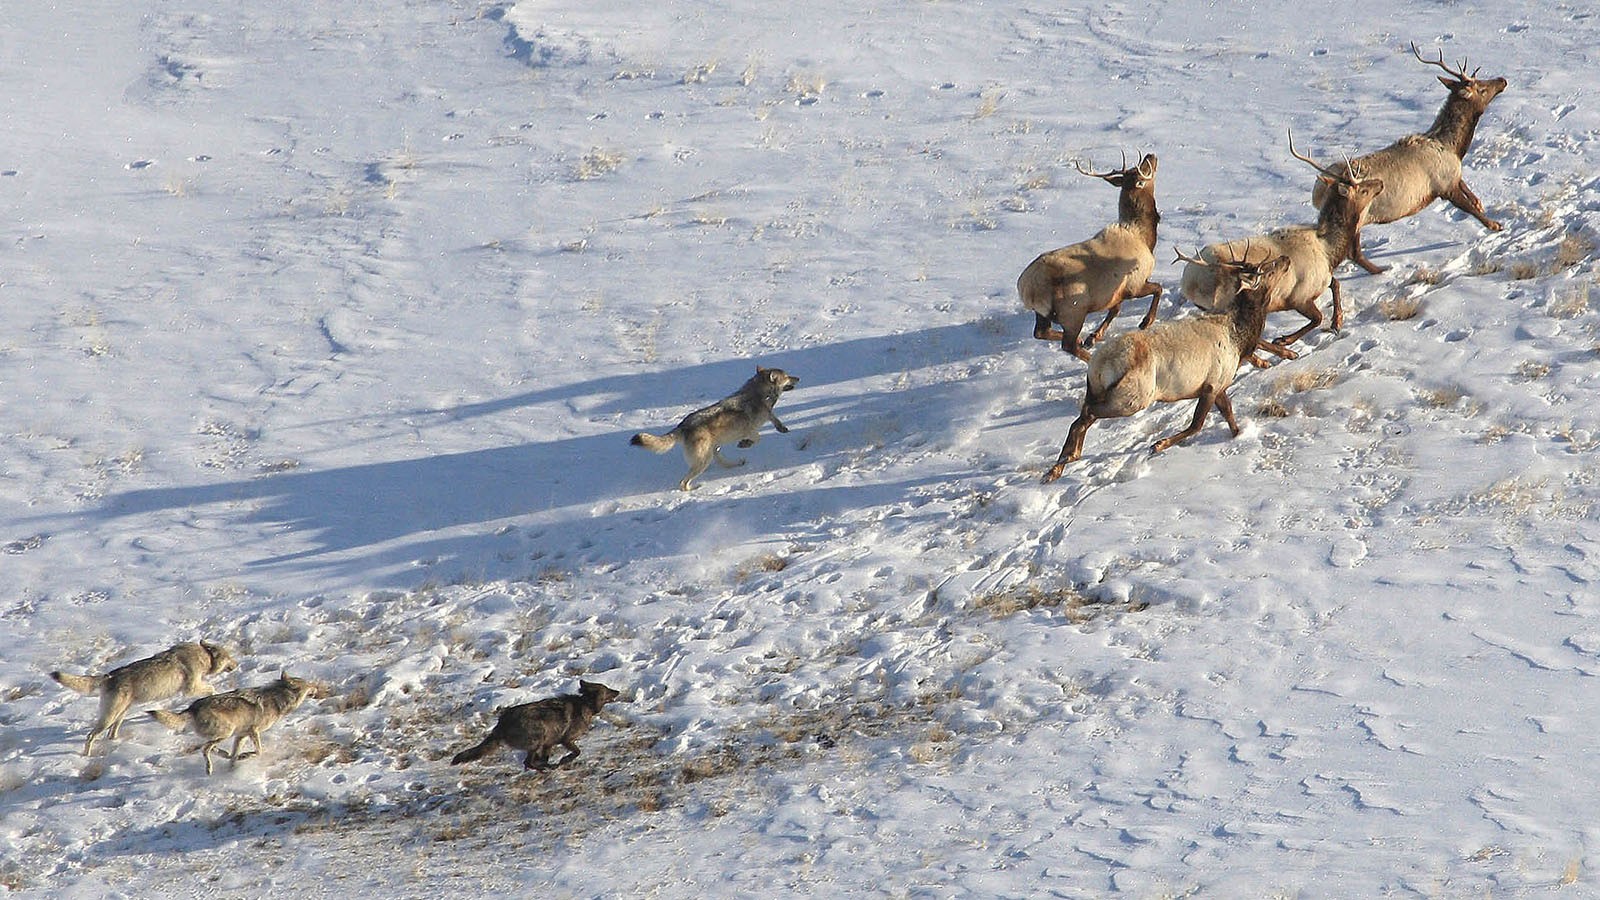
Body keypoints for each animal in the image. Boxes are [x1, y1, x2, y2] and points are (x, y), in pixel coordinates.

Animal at [51, 640, 238, 755]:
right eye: (229, 657)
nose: (237, 664)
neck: (204, 656)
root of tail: (109, 676)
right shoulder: (190, 689)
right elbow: (211, 688)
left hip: (120, 715)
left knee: (111, 734)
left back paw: (116, 742)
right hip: (109, 717)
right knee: (90, 736)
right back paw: (86, 756)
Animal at [149, 672, 326, 775]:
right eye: (308, 685)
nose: (317, 687)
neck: (277, 700)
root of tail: (192, 708)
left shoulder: (241, 735)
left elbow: (234, 756)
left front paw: (233, 767)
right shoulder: (254, 731)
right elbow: (259, 751)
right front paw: (246, 756)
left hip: (225, 734)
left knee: (209, 747)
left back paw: (226, 755)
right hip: (227, 731)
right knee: (205, 749)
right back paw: (209, 769)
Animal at [451, 680, 621, 771]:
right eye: (608, 690)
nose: (618, 691)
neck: (585, 704)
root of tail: (501, 723)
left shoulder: (549, 744)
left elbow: (544, 758)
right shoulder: (566, 740)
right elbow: (577, 752)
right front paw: (564, 760)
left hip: (540, 741)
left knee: (530, 762)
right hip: (538, 737)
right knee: (528, 762)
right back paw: (546, 768)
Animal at [630, 366, 799, 490]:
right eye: (787, 376)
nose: (798, 378)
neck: (759, 394)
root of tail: (683, 425)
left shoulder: (766, 416)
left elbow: (774, 418)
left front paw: (781, 428)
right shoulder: (750, 429)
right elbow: (758, 438)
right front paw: (745, 443)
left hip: (713, 451)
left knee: (721, 462)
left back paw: (737, 464)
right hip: (704, 460)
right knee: (683, 483)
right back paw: (695, 489)